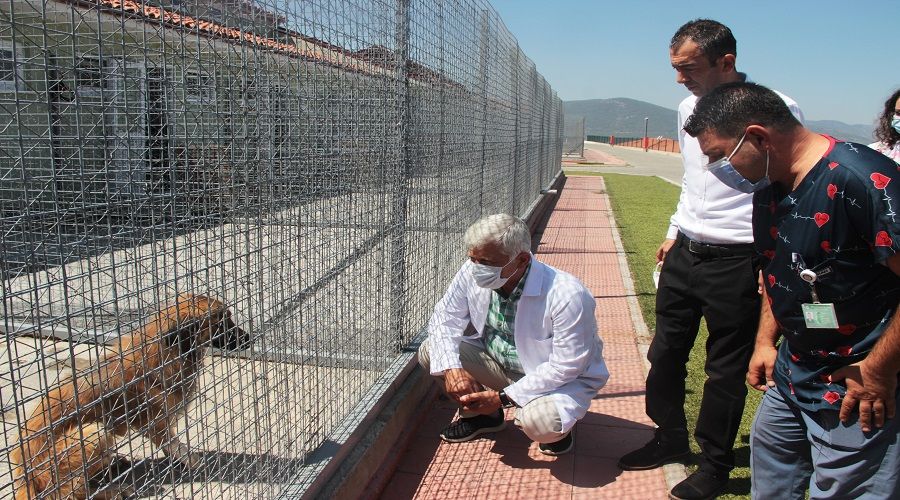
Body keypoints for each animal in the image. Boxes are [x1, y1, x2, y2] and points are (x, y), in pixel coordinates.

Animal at [8, 294, 251, 498]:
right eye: (222, 321)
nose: (249, 338)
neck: (166, 350)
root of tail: (25, 479)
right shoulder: (154, 420)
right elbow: (172, 443)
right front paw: (190, 459)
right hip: (93, 432)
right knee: (72, 492)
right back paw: (115, 489)